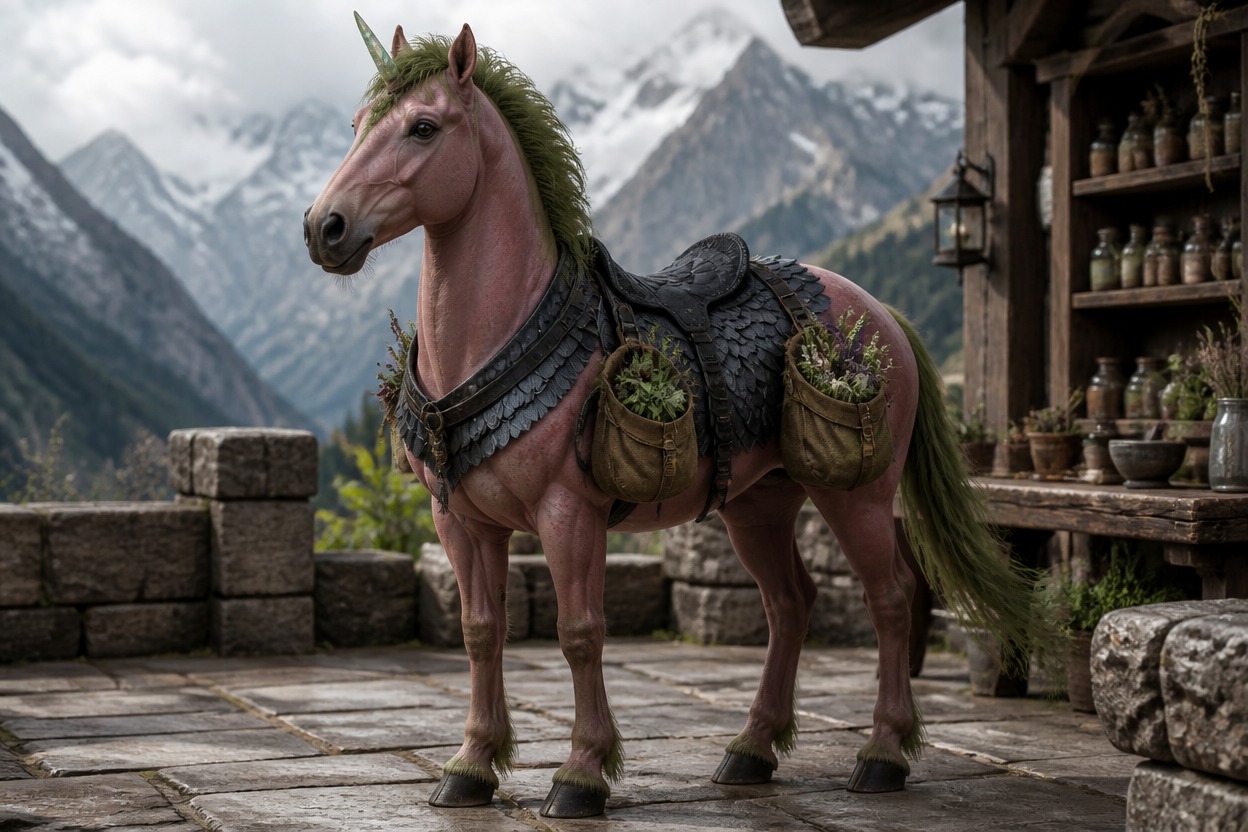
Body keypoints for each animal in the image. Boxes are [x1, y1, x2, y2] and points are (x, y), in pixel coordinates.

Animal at [304, 15, 1051, 819]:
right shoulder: (461, 521)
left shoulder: (569, 514)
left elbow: (580, 634)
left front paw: (582, 773)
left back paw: (881, 753)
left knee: (891, 599)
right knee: (791, 603)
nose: (325, 228)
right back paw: (752, 749)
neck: (504, 330)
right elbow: (481, 632)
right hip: (760, 502)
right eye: (358, 123)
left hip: (857, 493)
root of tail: (880, 313)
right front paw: (472, 765)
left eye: (423, 126)